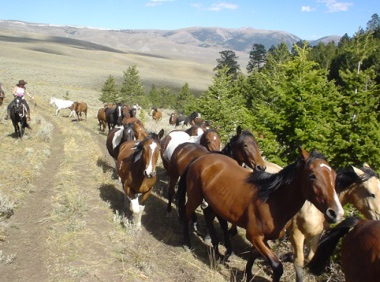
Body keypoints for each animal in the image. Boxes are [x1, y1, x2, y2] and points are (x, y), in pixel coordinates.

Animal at [177, 148, 342, 282]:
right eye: (312, 175)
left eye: (334, 177)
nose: (336, 213)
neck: (272, 199)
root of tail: (201, 158)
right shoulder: (255, 236)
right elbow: (277, 266)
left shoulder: (263, 239)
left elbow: (253, 255)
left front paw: (248, 275)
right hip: (195, 196)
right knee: (186, 214)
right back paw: (187, 243)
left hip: (214, 203)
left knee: (208, 215)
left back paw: (217, 251)